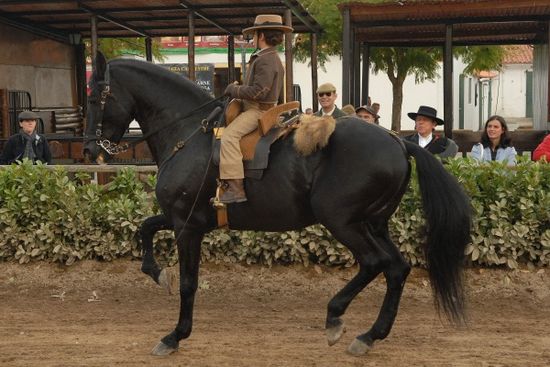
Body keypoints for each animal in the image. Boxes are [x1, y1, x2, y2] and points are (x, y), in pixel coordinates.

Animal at [84, 53, 472, 358]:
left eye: (97, 95)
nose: (89, 149)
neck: (190, 133)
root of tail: (400, 143)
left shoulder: (187, 225)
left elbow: (188, 283)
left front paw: (174, 335)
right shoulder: (182, 217)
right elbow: (145, 227)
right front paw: (156, 272)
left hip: (343, 221)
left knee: (376, 263)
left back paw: (336, 317)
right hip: (373, 223)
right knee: (396, 268)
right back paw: (369, 335)